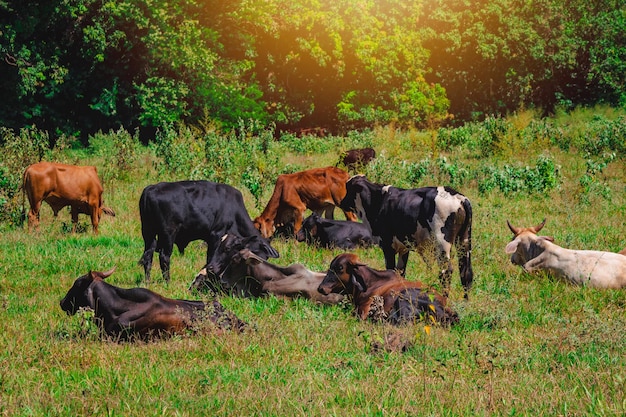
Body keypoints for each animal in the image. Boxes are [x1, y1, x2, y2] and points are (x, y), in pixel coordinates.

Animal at [141, 180, 280, 282]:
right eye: (257, 253)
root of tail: (151, 189)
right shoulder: (215, 235)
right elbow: (210, 258)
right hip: (168, 234)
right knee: (164, 256)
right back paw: (167, 281)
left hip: (148, 233)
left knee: (148, 256)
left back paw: (147, 281)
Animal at [338, 174, 470, 298]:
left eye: (348, 188)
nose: (341, 202)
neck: (377, 201)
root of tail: (458, 196)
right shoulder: (404, 247)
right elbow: (400, 272)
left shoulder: (387, 246)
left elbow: (391, 270)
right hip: (464, 242)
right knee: (465, 272)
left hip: (442, 244)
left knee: (446, 271)